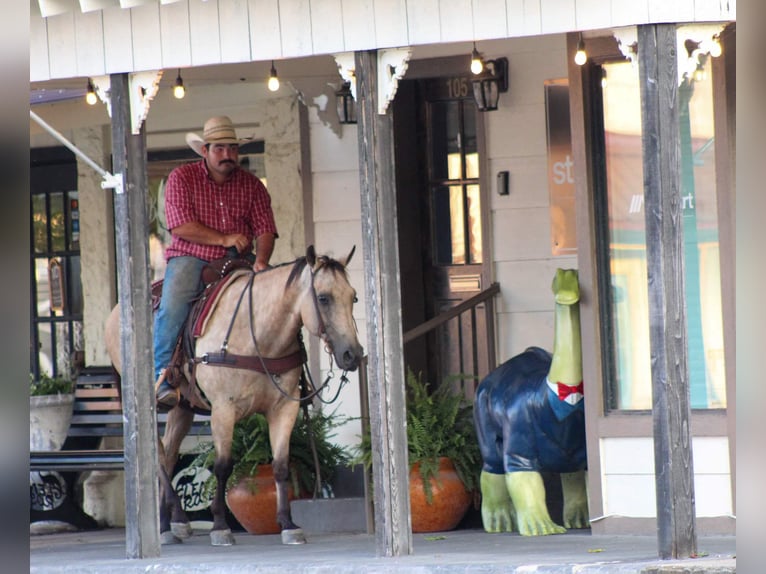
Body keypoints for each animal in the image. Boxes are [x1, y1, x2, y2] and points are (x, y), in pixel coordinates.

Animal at [104, 245, 364, 546]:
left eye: (353, 296)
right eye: (323, 298)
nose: (352, 354)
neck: (259, 339)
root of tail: (116, 311)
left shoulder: (284, 408)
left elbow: (281, 465)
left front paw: (288, 524)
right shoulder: (223, 410)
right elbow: (222, 466)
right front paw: (220, 526)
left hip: (182, 406)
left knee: (168, 454)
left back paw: (169, 524)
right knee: (156, 456)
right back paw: (174, 522)